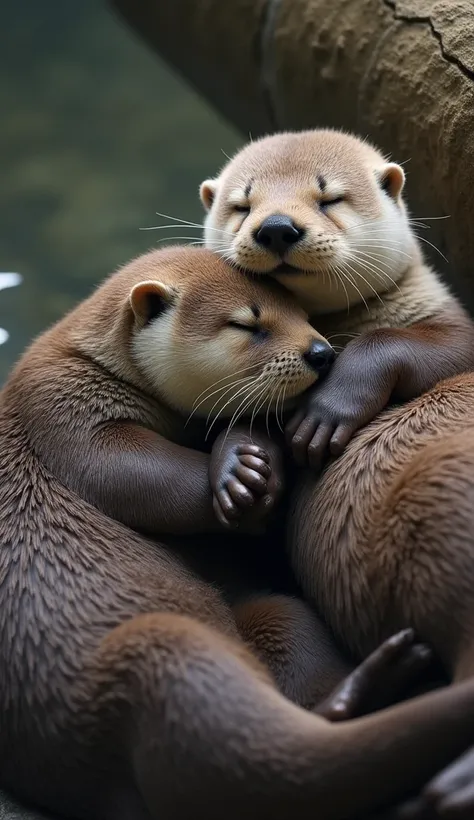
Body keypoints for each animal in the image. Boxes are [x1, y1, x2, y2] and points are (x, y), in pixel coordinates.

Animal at [2, 245, 474, 820]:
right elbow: (128, 472)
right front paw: (240, 478)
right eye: (248, 323)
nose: (321, 352)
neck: (93, 363)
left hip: (265, 621)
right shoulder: (61, 404)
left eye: (302, 310)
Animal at [200, 131, 474, 470]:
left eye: (330, 200)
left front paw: (326, 411)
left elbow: (391, 340)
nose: (276, 227)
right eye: (242, 206)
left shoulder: (442, 315)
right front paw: (241, 463)